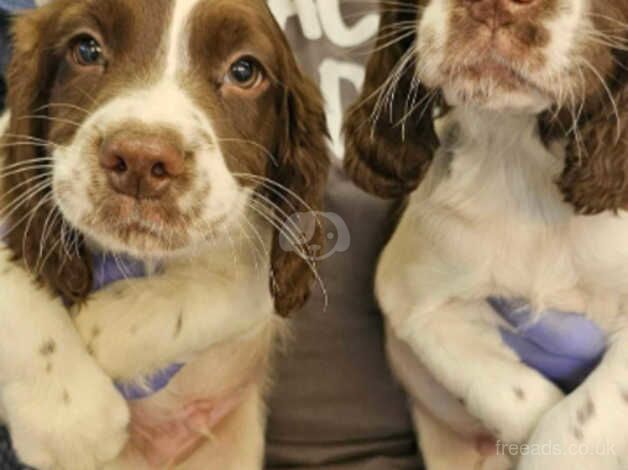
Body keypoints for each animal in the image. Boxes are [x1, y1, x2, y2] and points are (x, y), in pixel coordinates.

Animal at [0, 1, 332, 468]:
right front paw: (68, 415)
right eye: (86, 49)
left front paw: (102, 327)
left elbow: (235, 282)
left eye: (244, 71)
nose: (140, 160)